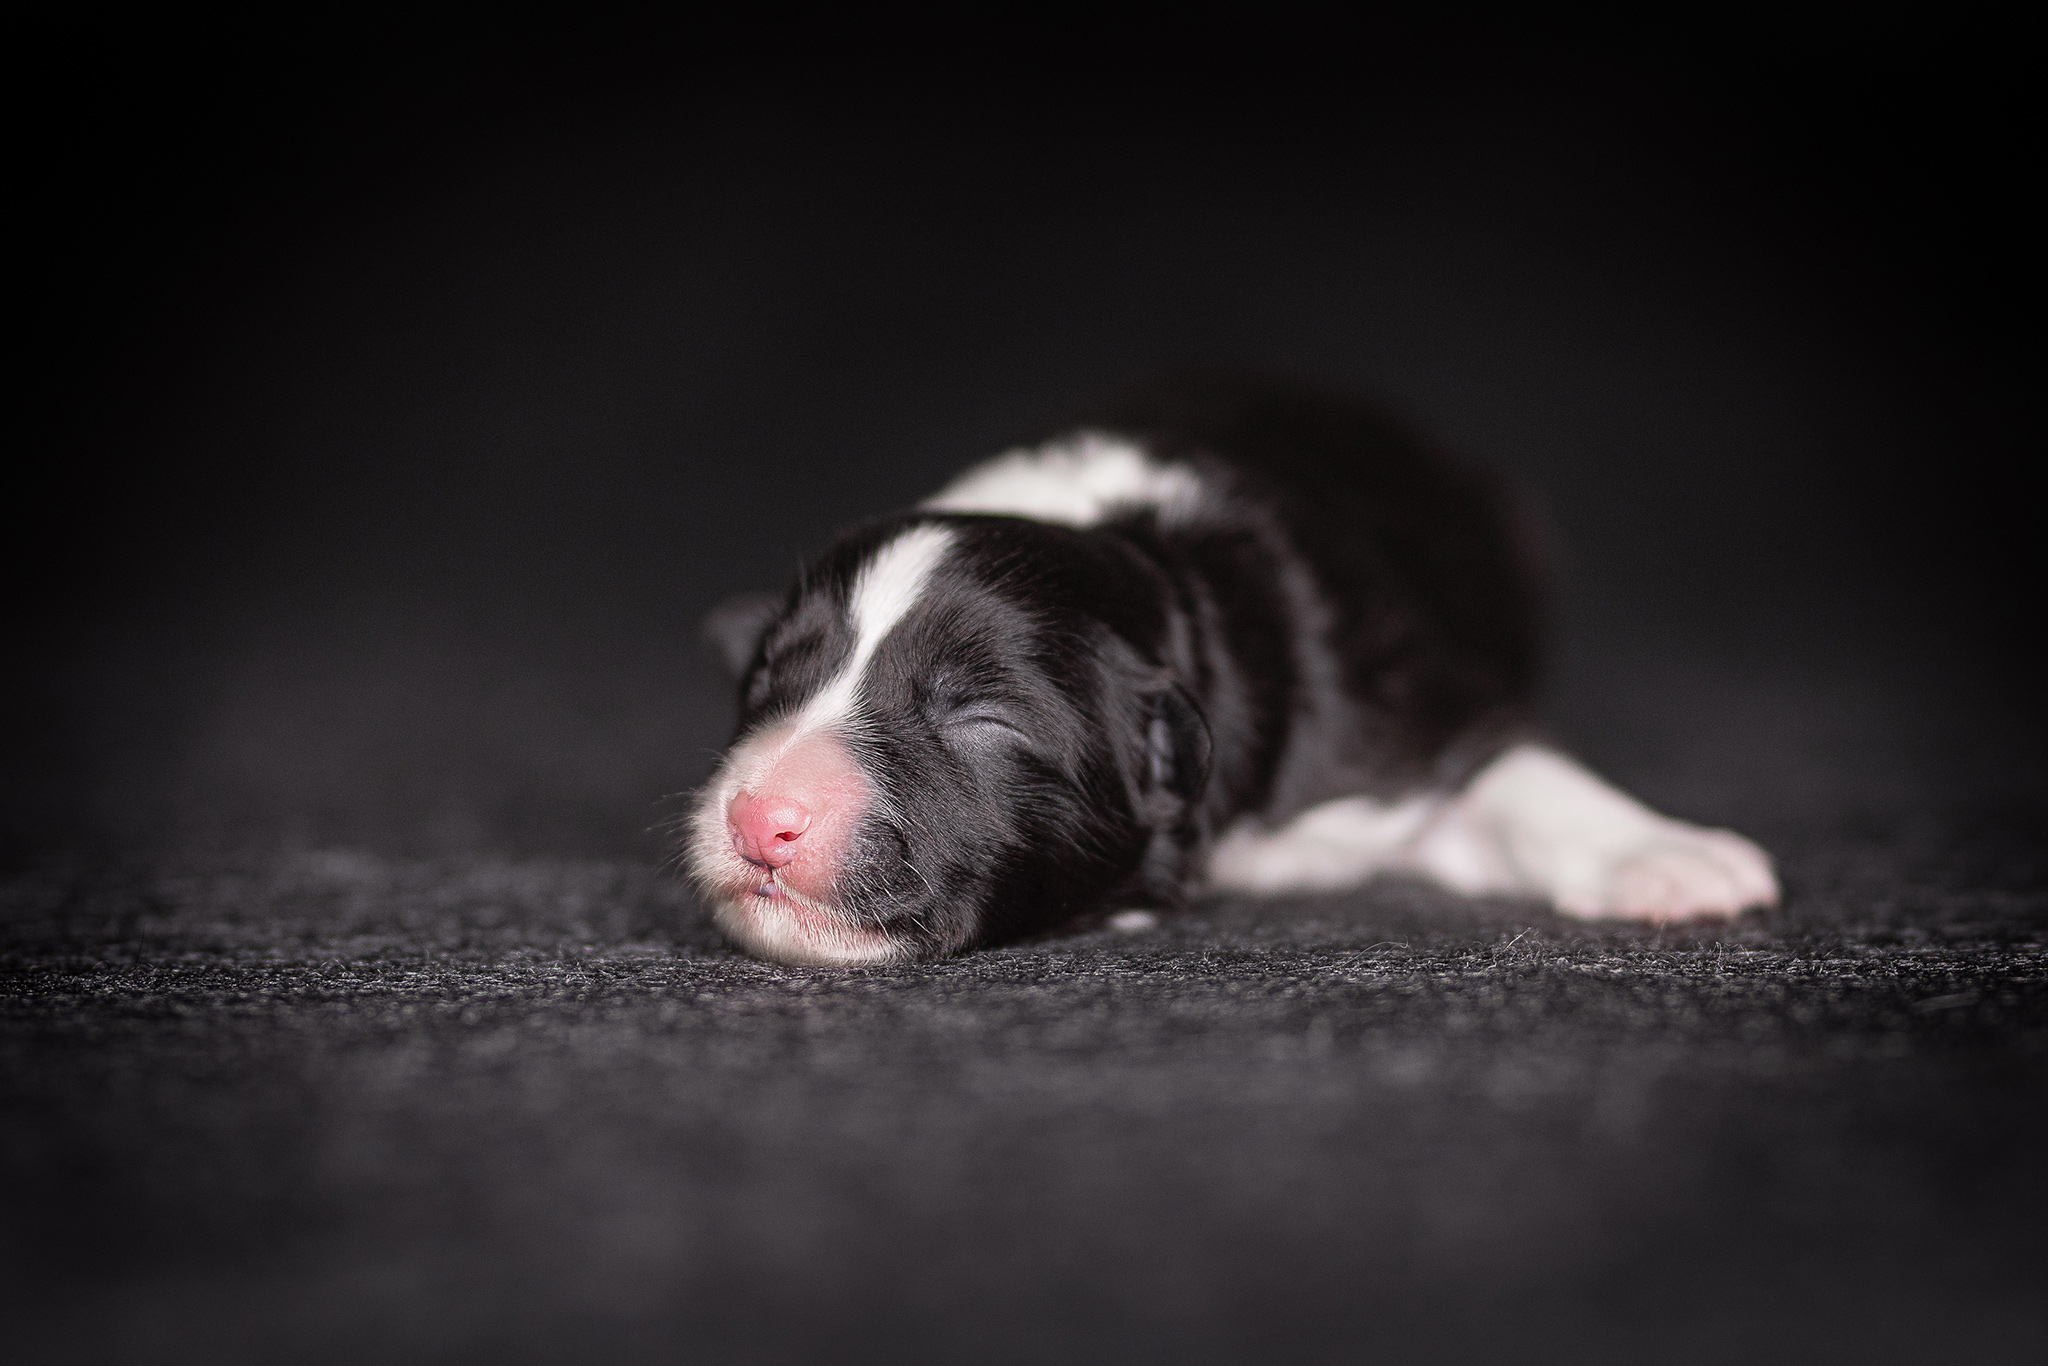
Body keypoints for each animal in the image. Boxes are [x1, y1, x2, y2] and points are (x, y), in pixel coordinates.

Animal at [688, 378, 1777, 966]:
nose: (757, 817)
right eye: (768, 680)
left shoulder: (1393, 731)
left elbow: (1516, 770)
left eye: (985, 721)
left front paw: (1665, 855)